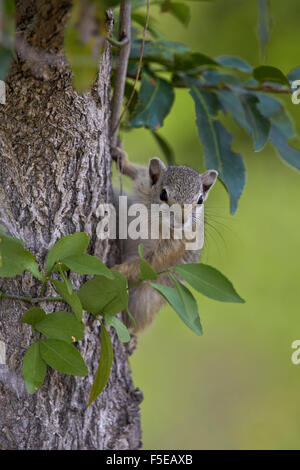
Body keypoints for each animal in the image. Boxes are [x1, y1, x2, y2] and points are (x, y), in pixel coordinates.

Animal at [111, 150, 217, 330]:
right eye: (163, 194)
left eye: (200, 200)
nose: (182, 219)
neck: (158, 220)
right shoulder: (144, 184)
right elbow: (137, 172)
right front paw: (122, 159)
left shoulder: (173, 246)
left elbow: (147, 263)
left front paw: (117, 269)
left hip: (144, 300)